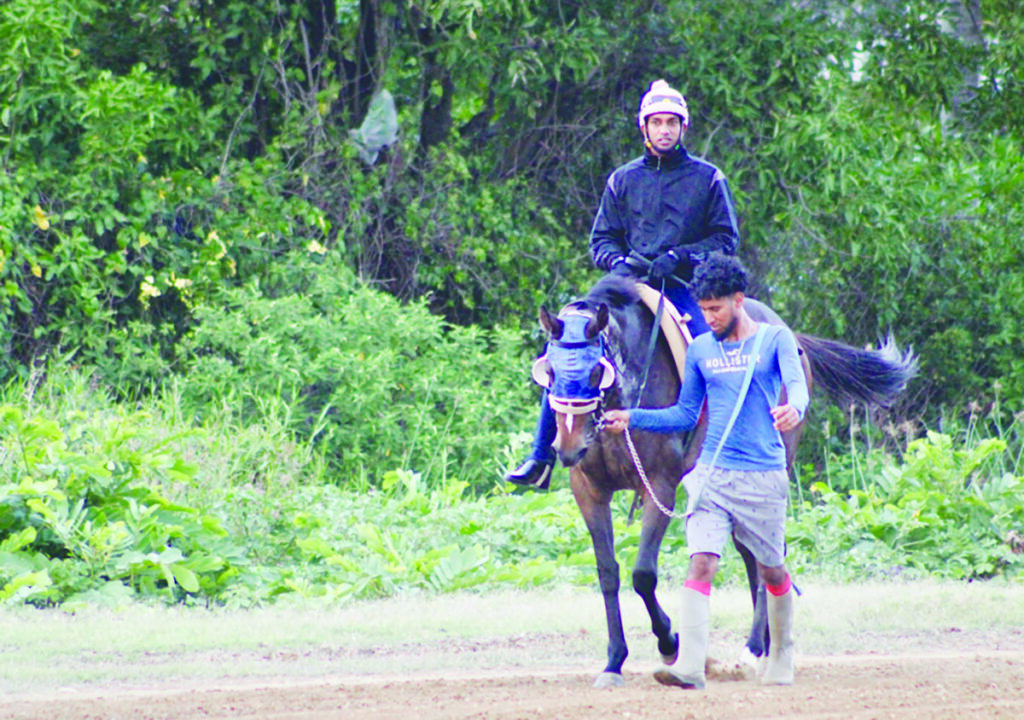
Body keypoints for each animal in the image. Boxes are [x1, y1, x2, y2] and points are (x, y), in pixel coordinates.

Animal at [529, 274, 916, 688]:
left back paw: (755, 648)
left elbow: (644, 575)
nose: (567, 447)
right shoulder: (589, 492)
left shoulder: (659, 486)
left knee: (766, 555)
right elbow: (608, 574)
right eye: (549, 372)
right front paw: (614, 661)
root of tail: (787, 332)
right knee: (753, 556)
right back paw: (765, 643)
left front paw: (670, 642)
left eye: (594, 372)